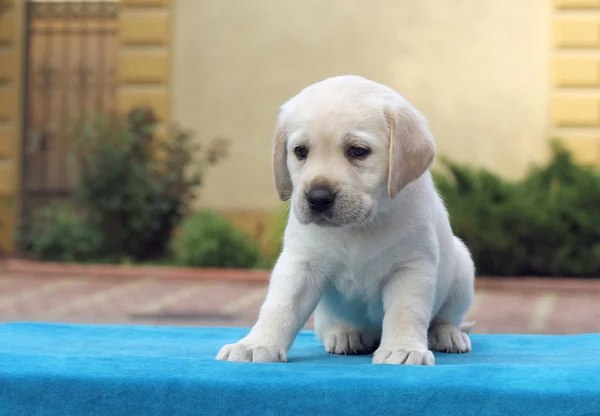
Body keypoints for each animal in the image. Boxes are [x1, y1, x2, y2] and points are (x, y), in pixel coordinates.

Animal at [216, 75, 474, 364]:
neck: (357, 227)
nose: (318, 197)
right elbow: (280, 306)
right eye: (300, 151)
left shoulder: (410, 267)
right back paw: (346, 334)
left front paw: (403, 348)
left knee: (446, 318)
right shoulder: (300, 264)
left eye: (358, 151)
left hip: (463, 270)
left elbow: (406, 312)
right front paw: (255, 344)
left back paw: (447, 334)